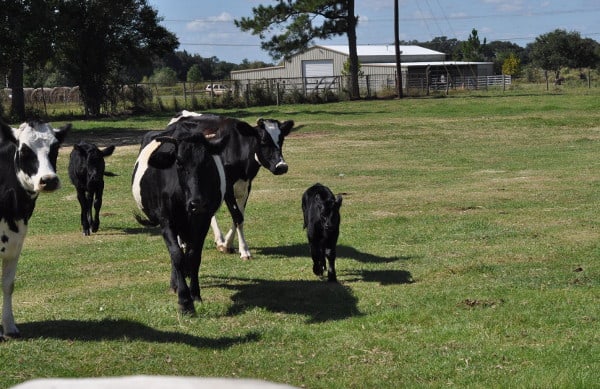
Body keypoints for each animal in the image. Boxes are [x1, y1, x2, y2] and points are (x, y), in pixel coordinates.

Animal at [1, 119, 69, 336]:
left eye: (55, 148)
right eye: (24, 150)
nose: (48, 180)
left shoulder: (15, 245)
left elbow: (8, 285)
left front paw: (9, 327)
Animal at [131, 118, 227, 312]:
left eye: (207, 162)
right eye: (179, 163)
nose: (197, 203)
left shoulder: (203, 220)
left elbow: (194, 256)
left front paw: (195, 294)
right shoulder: (166, 221)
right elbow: (176, 255)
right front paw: (184, 300)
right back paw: (175, 284)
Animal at [169, 110, 296, 260]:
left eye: (281, 140)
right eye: (264, 141)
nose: (282, 166)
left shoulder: (247, 186)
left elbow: (239, 215)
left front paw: (226, 244)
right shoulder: (228, 187)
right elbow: (238, 217)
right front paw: (244, 250)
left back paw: (218, 239)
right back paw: (182, 243)